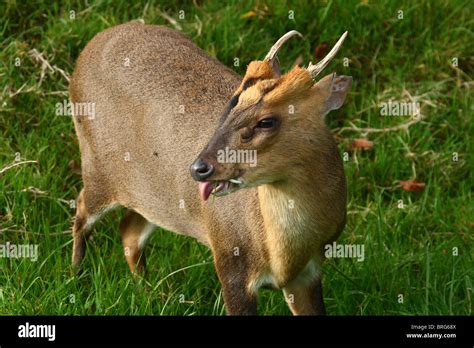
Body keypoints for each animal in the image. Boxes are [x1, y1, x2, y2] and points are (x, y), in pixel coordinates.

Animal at [70, 21, 352, 316]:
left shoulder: (310, 272)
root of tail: (94, 43)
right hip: (97, 165)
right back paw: (76, 278)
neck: (283, 255)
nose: (199, 168)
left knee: (129, 231)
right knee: (82, 207)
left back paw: (150, 294)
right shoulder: (230, 262)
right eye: (231, 103)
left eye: (266, 121)